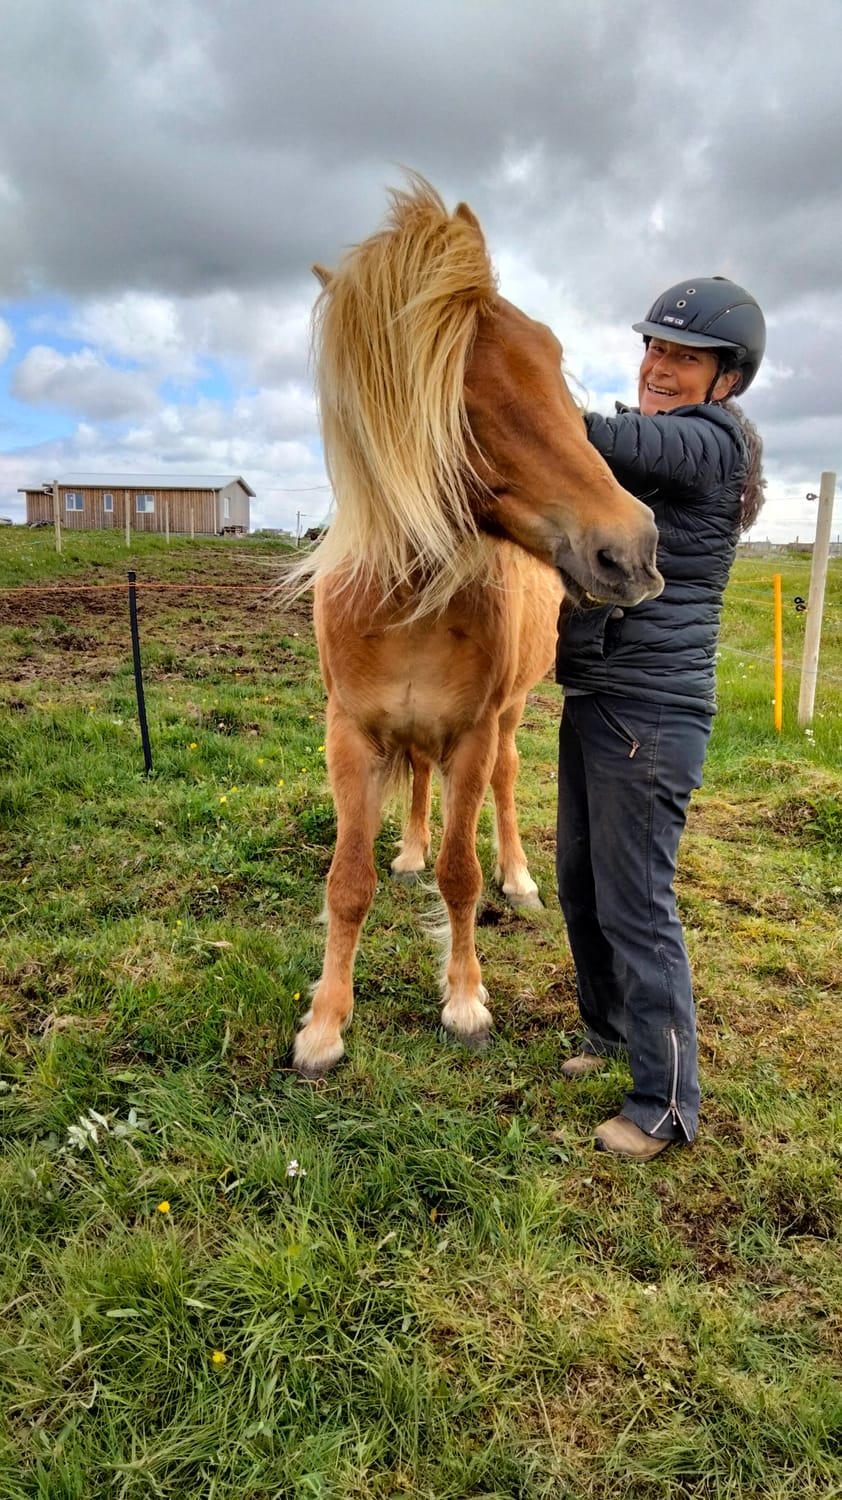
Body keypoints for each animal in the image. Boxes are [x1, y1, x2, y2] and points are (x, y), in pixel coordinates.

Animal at [289, 176, 662, 1079]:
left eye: (552, 359)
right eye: (453, 391)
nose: (633, 545)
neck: (408, 600)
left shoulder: (472, 732)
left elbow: (461, 875)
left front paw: (463, 1001)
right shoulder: (350, 735)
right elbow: (347, 882)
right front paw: (325, 1025)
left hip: (509, 718)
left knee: (504, 783)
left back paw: (520, 879)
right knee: (419, 788)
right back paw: (409, 850)